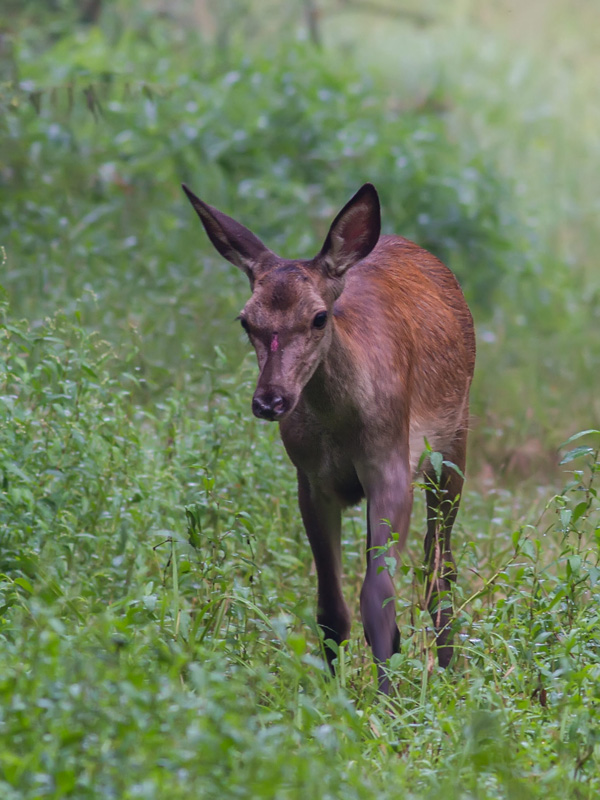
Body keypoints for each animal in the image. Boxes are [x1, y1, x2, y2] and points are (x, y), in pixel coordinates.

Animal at [180, 183, 476, 692]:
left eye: (319, 317)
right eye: (245, 320)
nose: (271, 400)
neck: (342, 429)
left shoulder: (392, 463)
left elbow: (377, 594)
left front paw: (387, 697)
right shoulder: (312, 480)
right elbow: (331, 606)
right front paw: (334, 690)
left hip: (454, 442)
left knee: (439, 567)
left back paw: (446, 670)